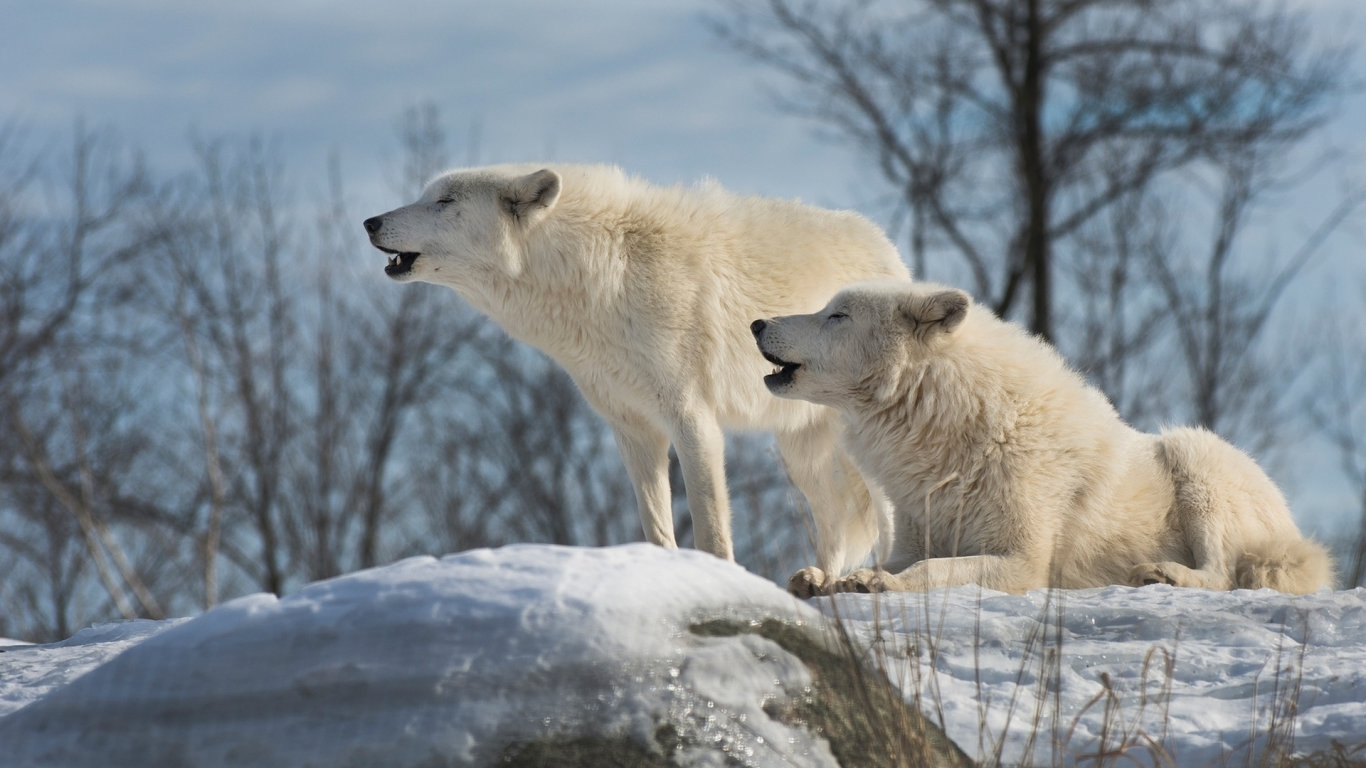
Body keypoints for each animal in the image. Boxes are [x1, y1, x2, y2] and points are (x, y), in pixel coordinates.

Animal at [368, 162, 912, 568]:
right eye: (426, 196)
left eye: (444, 201)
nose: (370, 222)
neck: (603, 278)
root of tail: (889, 250)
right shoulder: (632, 428)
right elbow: (656, 527)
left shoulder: (692, 418)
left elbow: (711, 529)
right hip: (801, 452)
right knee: (837, 528)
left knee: (883, 514)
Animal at [748, 277, 1333, 595]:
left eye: (836, 316)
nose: (756, 324)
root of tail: (1290, 523)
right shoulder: (920, 532)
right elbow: (891, 560)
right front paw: (824, 579)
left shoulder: (1023, 561)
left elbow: (935, 569)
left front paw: (879, 585)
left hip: (1195, 460)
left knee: (1226, 573)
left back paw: (1164, 576)